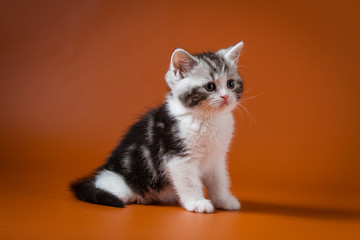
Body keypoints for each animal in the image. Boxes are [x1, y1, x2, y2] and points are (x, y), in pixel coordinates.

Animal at [70, 41, 245, 214]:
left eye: (230, 84)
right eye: (210, 86)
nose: (225, 96)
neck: (208, 119)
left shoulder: (217, 158)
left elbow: (219, 180)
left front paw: (224, 200)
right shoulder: (178, 156)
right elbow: (188, 181)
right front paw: (197, 202)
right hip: (121, 181)